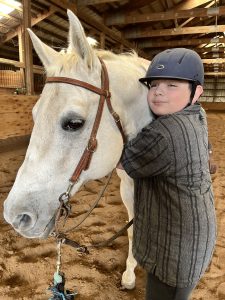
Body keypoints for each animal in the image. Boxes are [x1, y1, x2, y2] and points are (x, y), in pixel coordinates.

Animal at [3, 10, 154, 290]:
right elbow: (132, 229)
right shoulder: (128, 186)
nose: (15, 216)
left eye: (74, 123)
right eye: (35, 115)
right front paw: (130, 273)